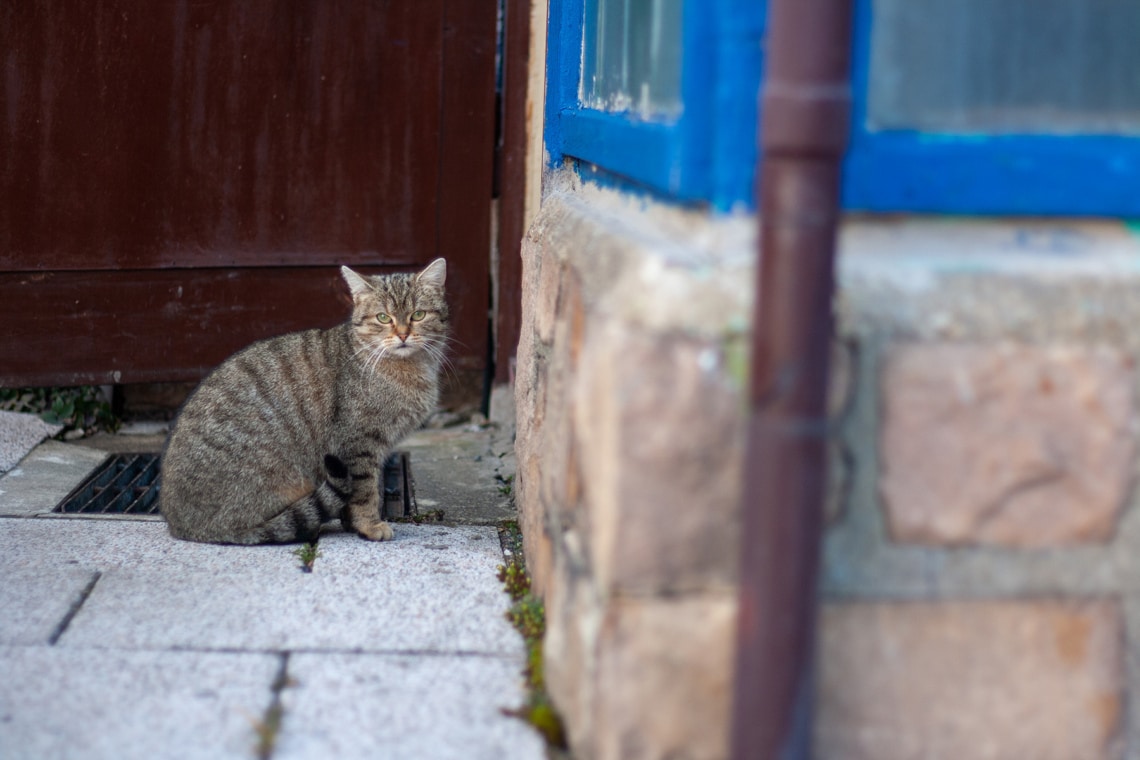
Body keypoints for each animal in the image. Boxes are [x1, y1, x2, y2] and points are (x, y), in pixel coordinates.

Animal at [160, 258, 449, 544]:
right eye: (383, 317)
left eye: (418, 315)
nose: (403, 335)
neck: (410, 367)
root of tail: (181, 525)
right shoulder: (358, 444)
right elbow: (365, 492)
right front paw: (369, 526)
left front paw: (352, 524)